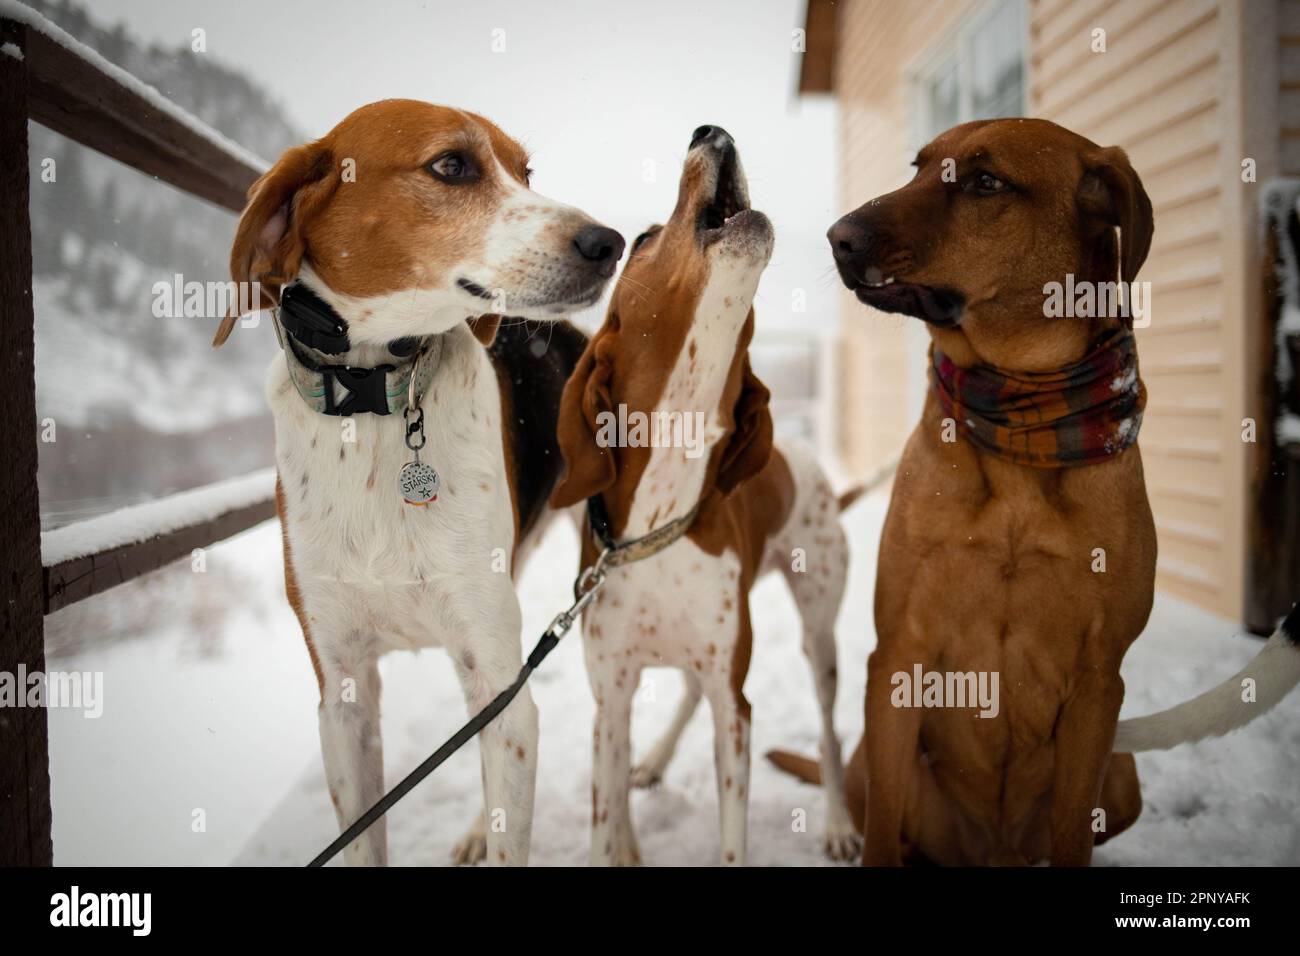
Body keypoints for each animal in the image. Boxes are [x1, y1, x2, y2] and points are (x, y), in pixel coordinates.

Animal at [211, 100, 618, 868]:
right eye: (451, 166)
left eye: (525, 173)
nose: (606, 242)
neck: (373, 403)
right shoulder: (342, 694)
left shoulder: (494, 674)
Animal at [551, 127, 863, 868]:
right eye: (642, 238)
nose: (709, 131)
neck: (661, 519)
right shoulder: (611, 700)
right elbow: (605, 816)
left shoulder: (736, 708)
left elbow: (732, 836)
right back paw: (654, 760)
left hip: (819, 631)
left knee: (831, 733)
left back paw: (838, 822)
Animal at [769, 117, 1300, 868]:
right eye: (919, 168)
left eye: (986, 182)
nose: (839, 236)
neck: (1020, 413)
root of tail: (992, 853)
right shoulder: (898, 652)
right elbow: (880, 837)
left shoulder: (1100, 683)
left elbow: (1075, 827)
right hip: (881, 764)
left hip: (1122, 770)